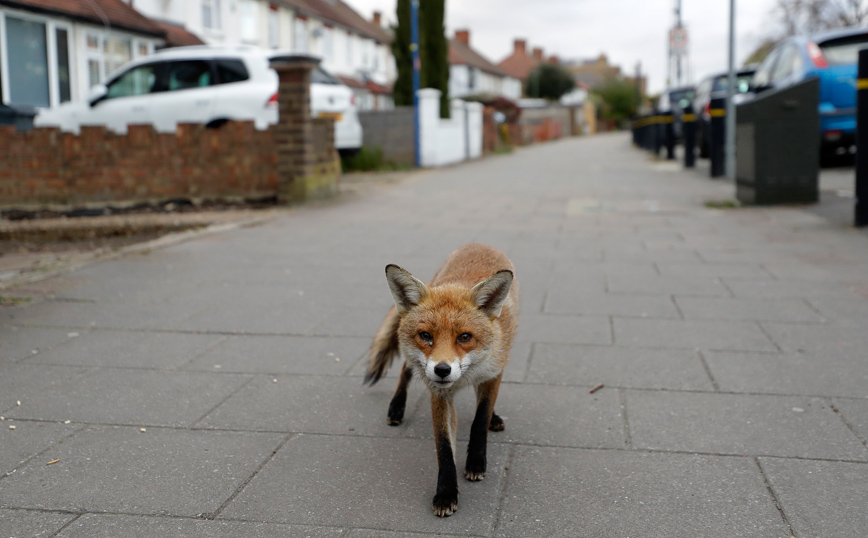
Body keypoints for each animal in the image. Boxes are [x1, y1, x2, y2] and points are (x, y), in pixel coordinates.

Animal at [364, 243, 520, 516]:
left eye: (464, 337)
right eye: (426, 336)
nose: (442, 370)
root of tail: (479, 243)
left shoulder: (494, 373)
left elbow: (480, 419)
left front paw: (476, 462)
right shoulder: (438, 394)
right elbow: (444, 447)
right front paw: (446, 493)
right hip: (415, 364)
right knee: (405, 369)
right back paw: (396, 407)